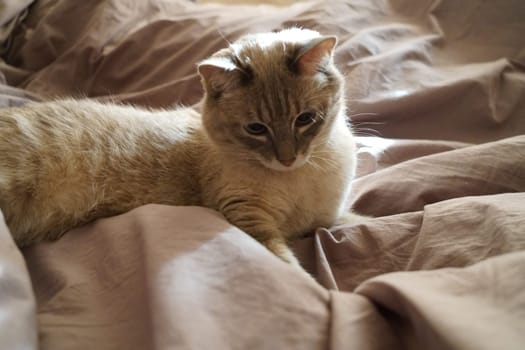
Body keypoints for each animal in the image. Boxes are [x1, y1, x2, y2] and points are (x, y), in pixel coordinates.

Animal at [0, 28, 356, 270]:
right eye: (256, 129)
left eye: (305, 119)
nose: (287, 159)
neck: (300, 179)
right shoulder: (248, 217)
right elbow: (291, 268)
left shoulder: (329, 218)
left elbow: (352, 221)